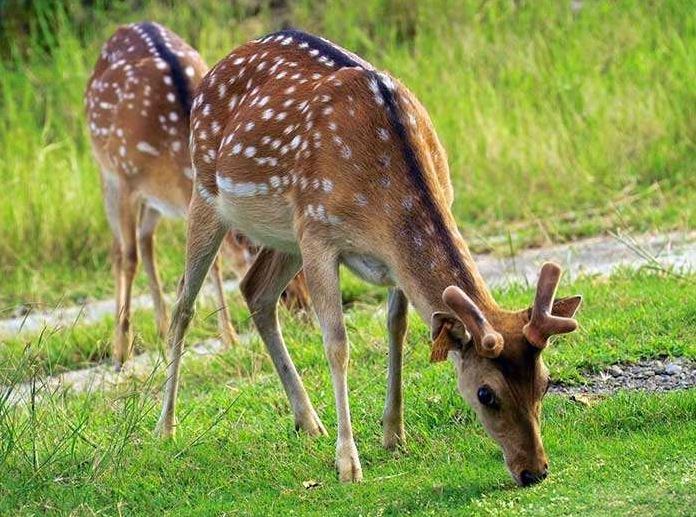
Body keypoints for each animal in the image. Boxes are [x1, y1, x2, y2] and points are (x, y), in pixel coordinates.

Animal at [83, 21, 308, 366]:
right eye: (254, 247)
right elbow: (129, 256)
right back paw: (126, 341)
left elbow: (211, 262)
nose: (302, 306)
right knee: (121, 249)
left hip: (152, 201)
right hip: (104, 169)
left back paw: (162, 327)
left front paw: (229, 338)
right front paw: (121, 350)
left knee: (146, 239)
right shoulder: (123, 177)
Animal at [156, 30, 580, 486]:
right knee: (184, 303)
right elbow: (337, 344)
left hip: (286, 233)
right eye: (487, 394)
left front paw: (394, 434)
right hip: (207, 193)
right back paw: (166, 428)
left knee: (256, 290)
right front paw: (348, 463)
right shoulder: (320, 233)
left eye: (545, 381)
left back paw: (308, 421)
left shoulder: (388, 255)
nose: (534, 470)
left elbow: (398, 327)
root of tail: (212, 69)